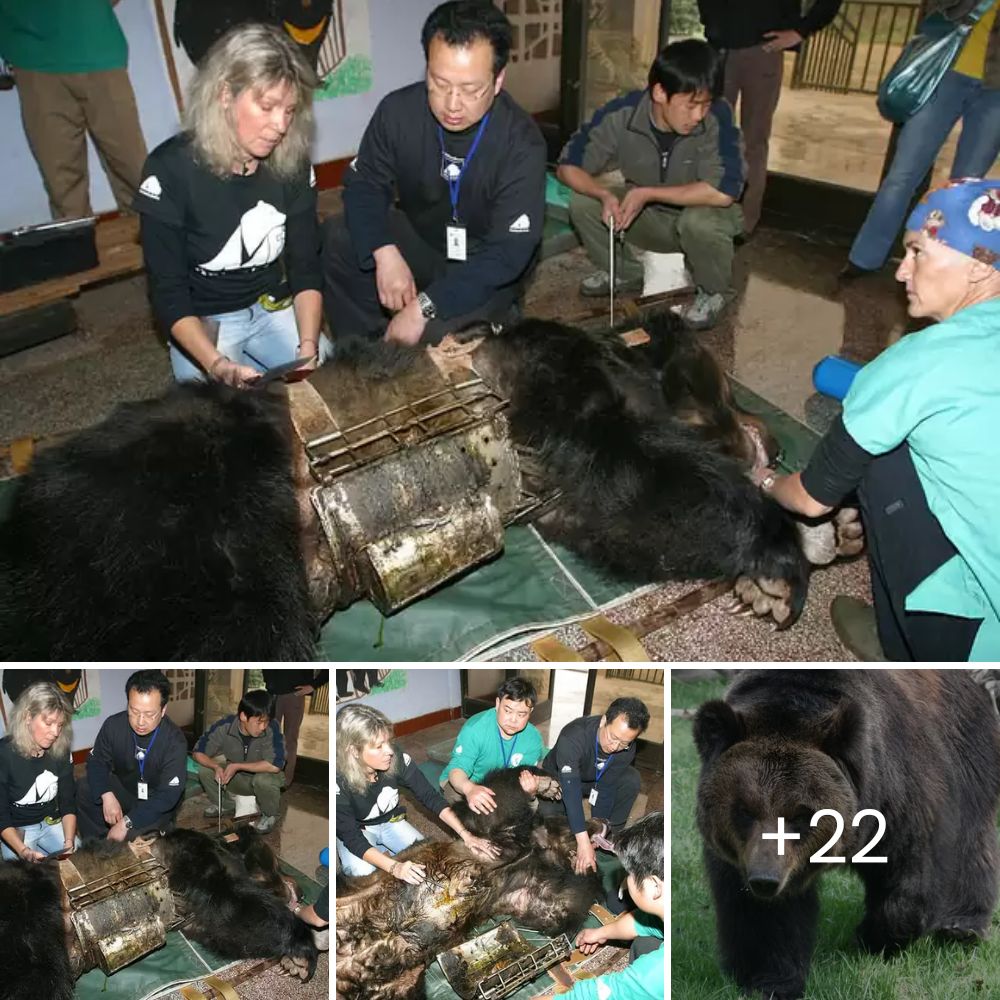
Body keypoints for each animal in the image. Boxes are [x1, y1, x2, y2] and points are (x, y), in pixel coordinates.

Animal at [692, 668, 1000, 1000]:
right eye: (744, 810)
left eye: (800, 814)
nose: (765, 879)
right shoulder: (740, 854)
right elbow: (762, 917)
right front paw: (769, 982)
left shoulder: (897, 788)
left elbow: (911, 872)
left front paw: (872, 936)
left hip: (965, 741)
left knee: (970, 840)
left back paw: (961, 927)